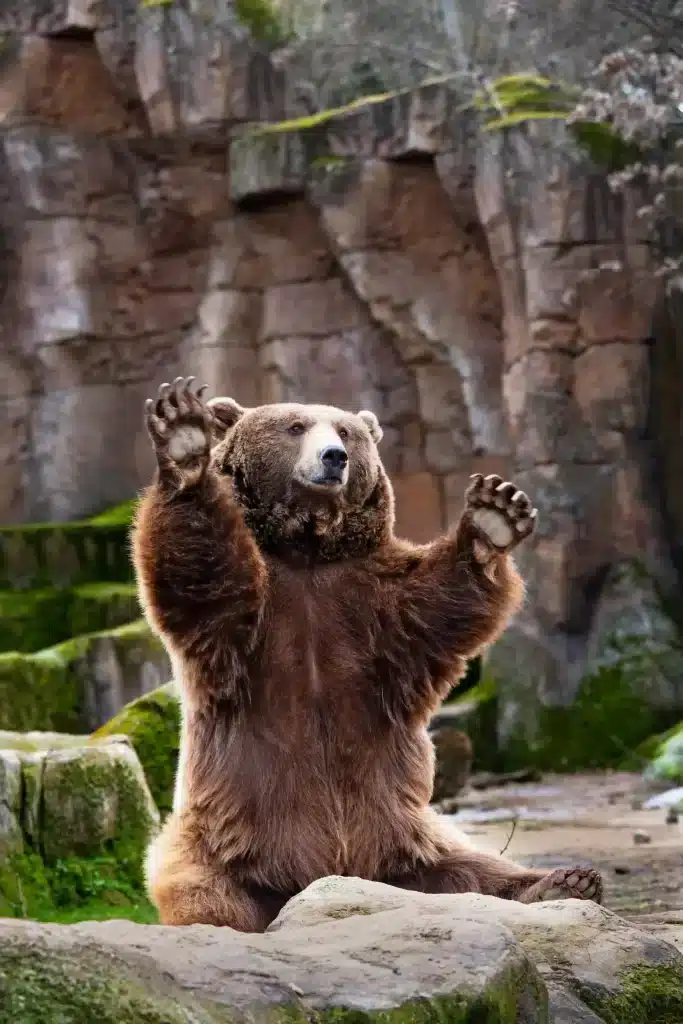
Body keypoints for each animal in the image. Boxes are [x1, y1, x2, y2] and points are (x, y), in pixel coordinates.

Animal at [132, 375, 603, 930]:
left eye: (345, 431)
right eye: (295, 426)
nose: (334, 457)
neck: (308, 552)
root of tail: (337, 879)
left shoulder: (375, 605)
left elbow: (442, 604)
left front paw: (493, 519)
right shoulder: (251, 626)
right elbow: (201, 574)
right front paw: (184, 440)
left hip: (406, 839)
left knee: (472, 869)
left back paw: (564, 882)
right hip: (227, 839)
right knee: (210, 892)